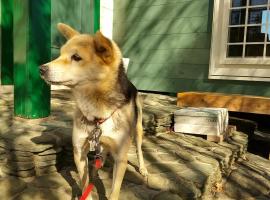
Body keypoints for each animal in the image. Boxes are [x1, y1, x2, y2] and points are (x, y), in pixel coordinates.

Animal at [39, 22, 148, 199]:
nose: (41, 69)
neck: (97, 109)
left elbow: (114, 191)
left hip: (138, 129)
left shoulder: (121, 158)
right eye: (60, 54)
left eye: (76, 57)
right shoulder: (79, 152)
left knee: (139, 149)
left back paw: (143, 168)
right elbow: (84, 183)